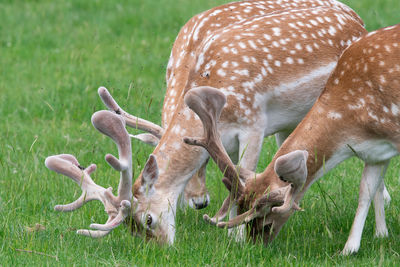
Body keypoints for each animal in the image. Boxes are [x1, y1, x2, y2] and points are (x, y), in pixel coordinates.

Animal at [45, 1, 374, 246]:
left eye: (147, 220)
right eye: (134, 230)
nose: (160, 247)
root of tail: (355, 18)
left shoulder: (254, 123)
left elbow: (243, 177)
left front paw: (236, 237)